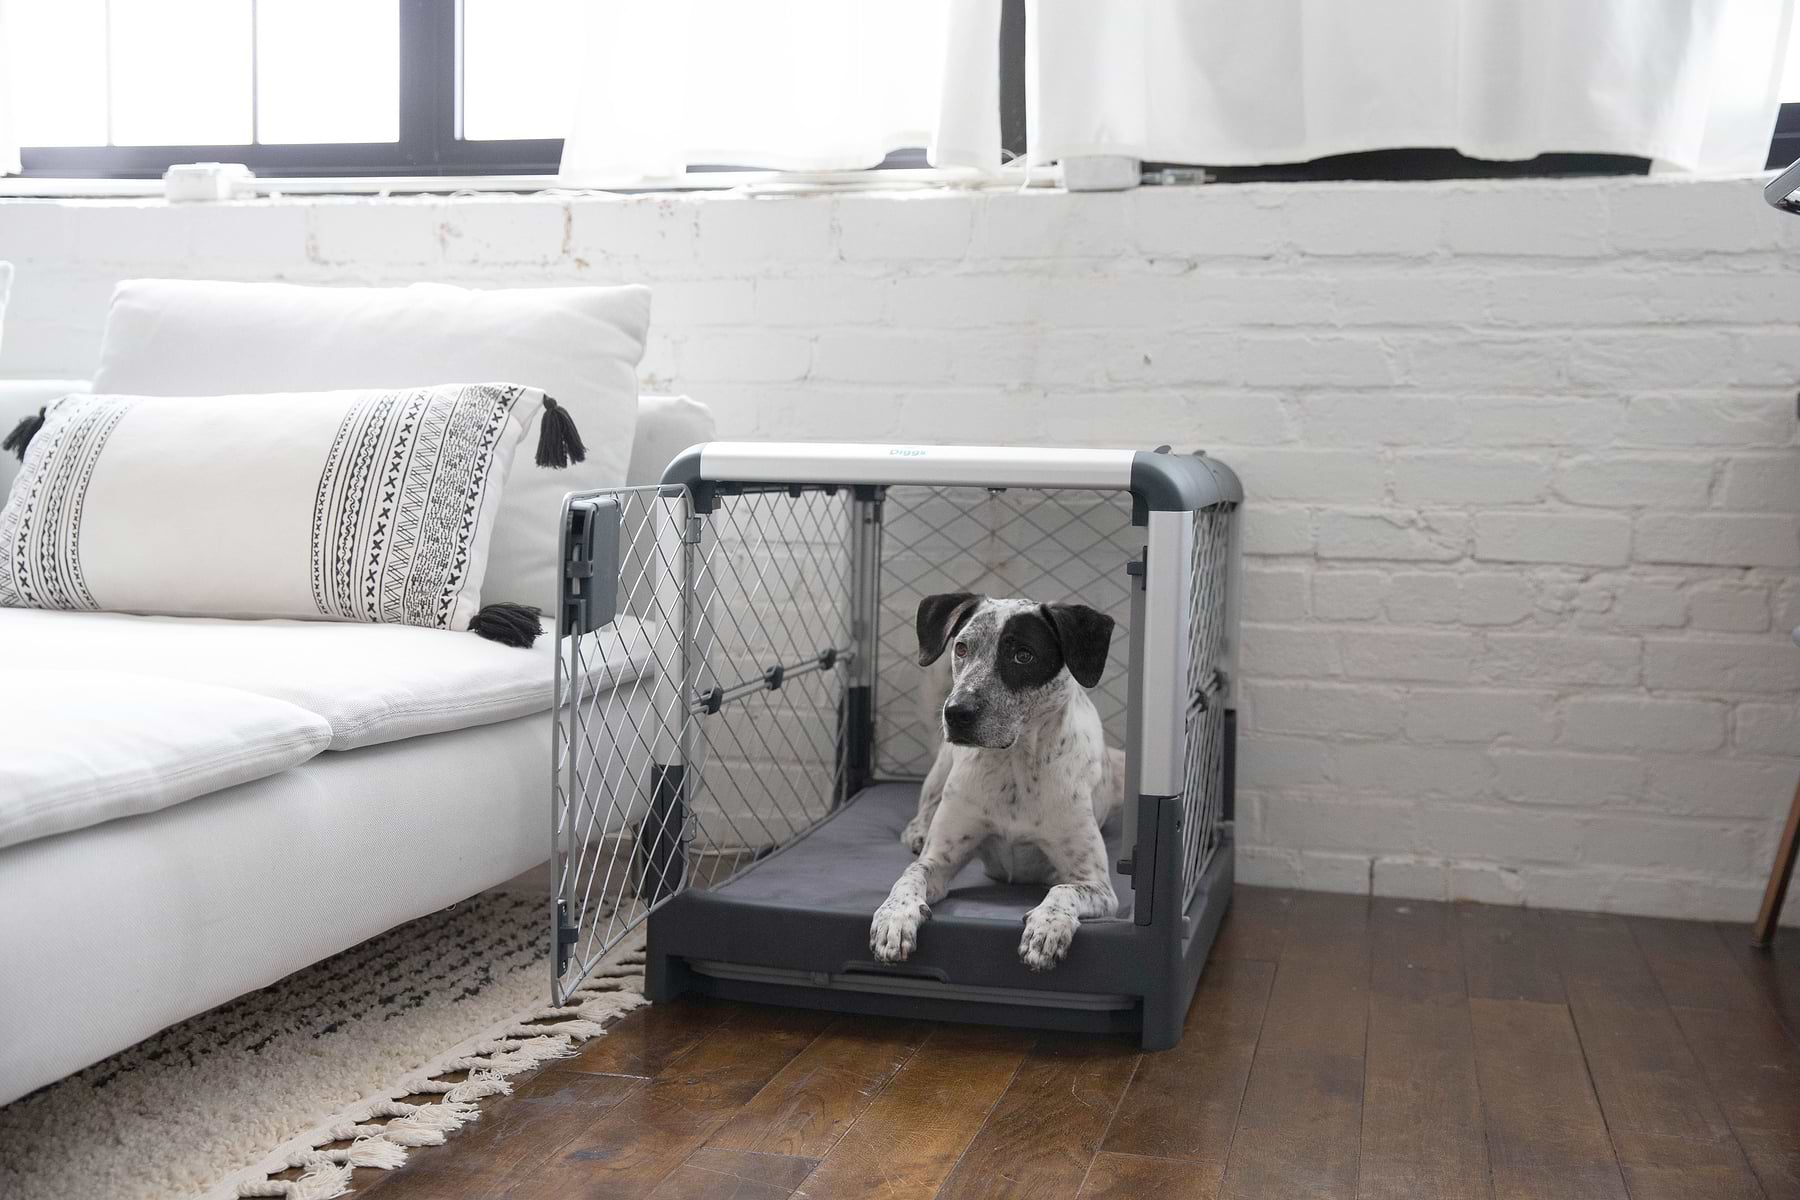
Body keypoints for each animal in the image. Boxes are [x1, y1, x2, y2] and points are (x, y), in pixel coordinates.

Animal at [874, 593, 1123, 978]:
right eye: (961, 648)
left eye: (1023, 655)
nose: (956, 712)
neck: (1014, 765)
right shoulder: (940, 860)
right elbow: (909, 876)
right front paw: (895, 916)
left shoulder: (1096, 883)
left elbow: (1062, 890)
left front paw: (1048, 927)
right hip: (942, 766)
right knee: (926, 806)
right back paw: (917, 830)